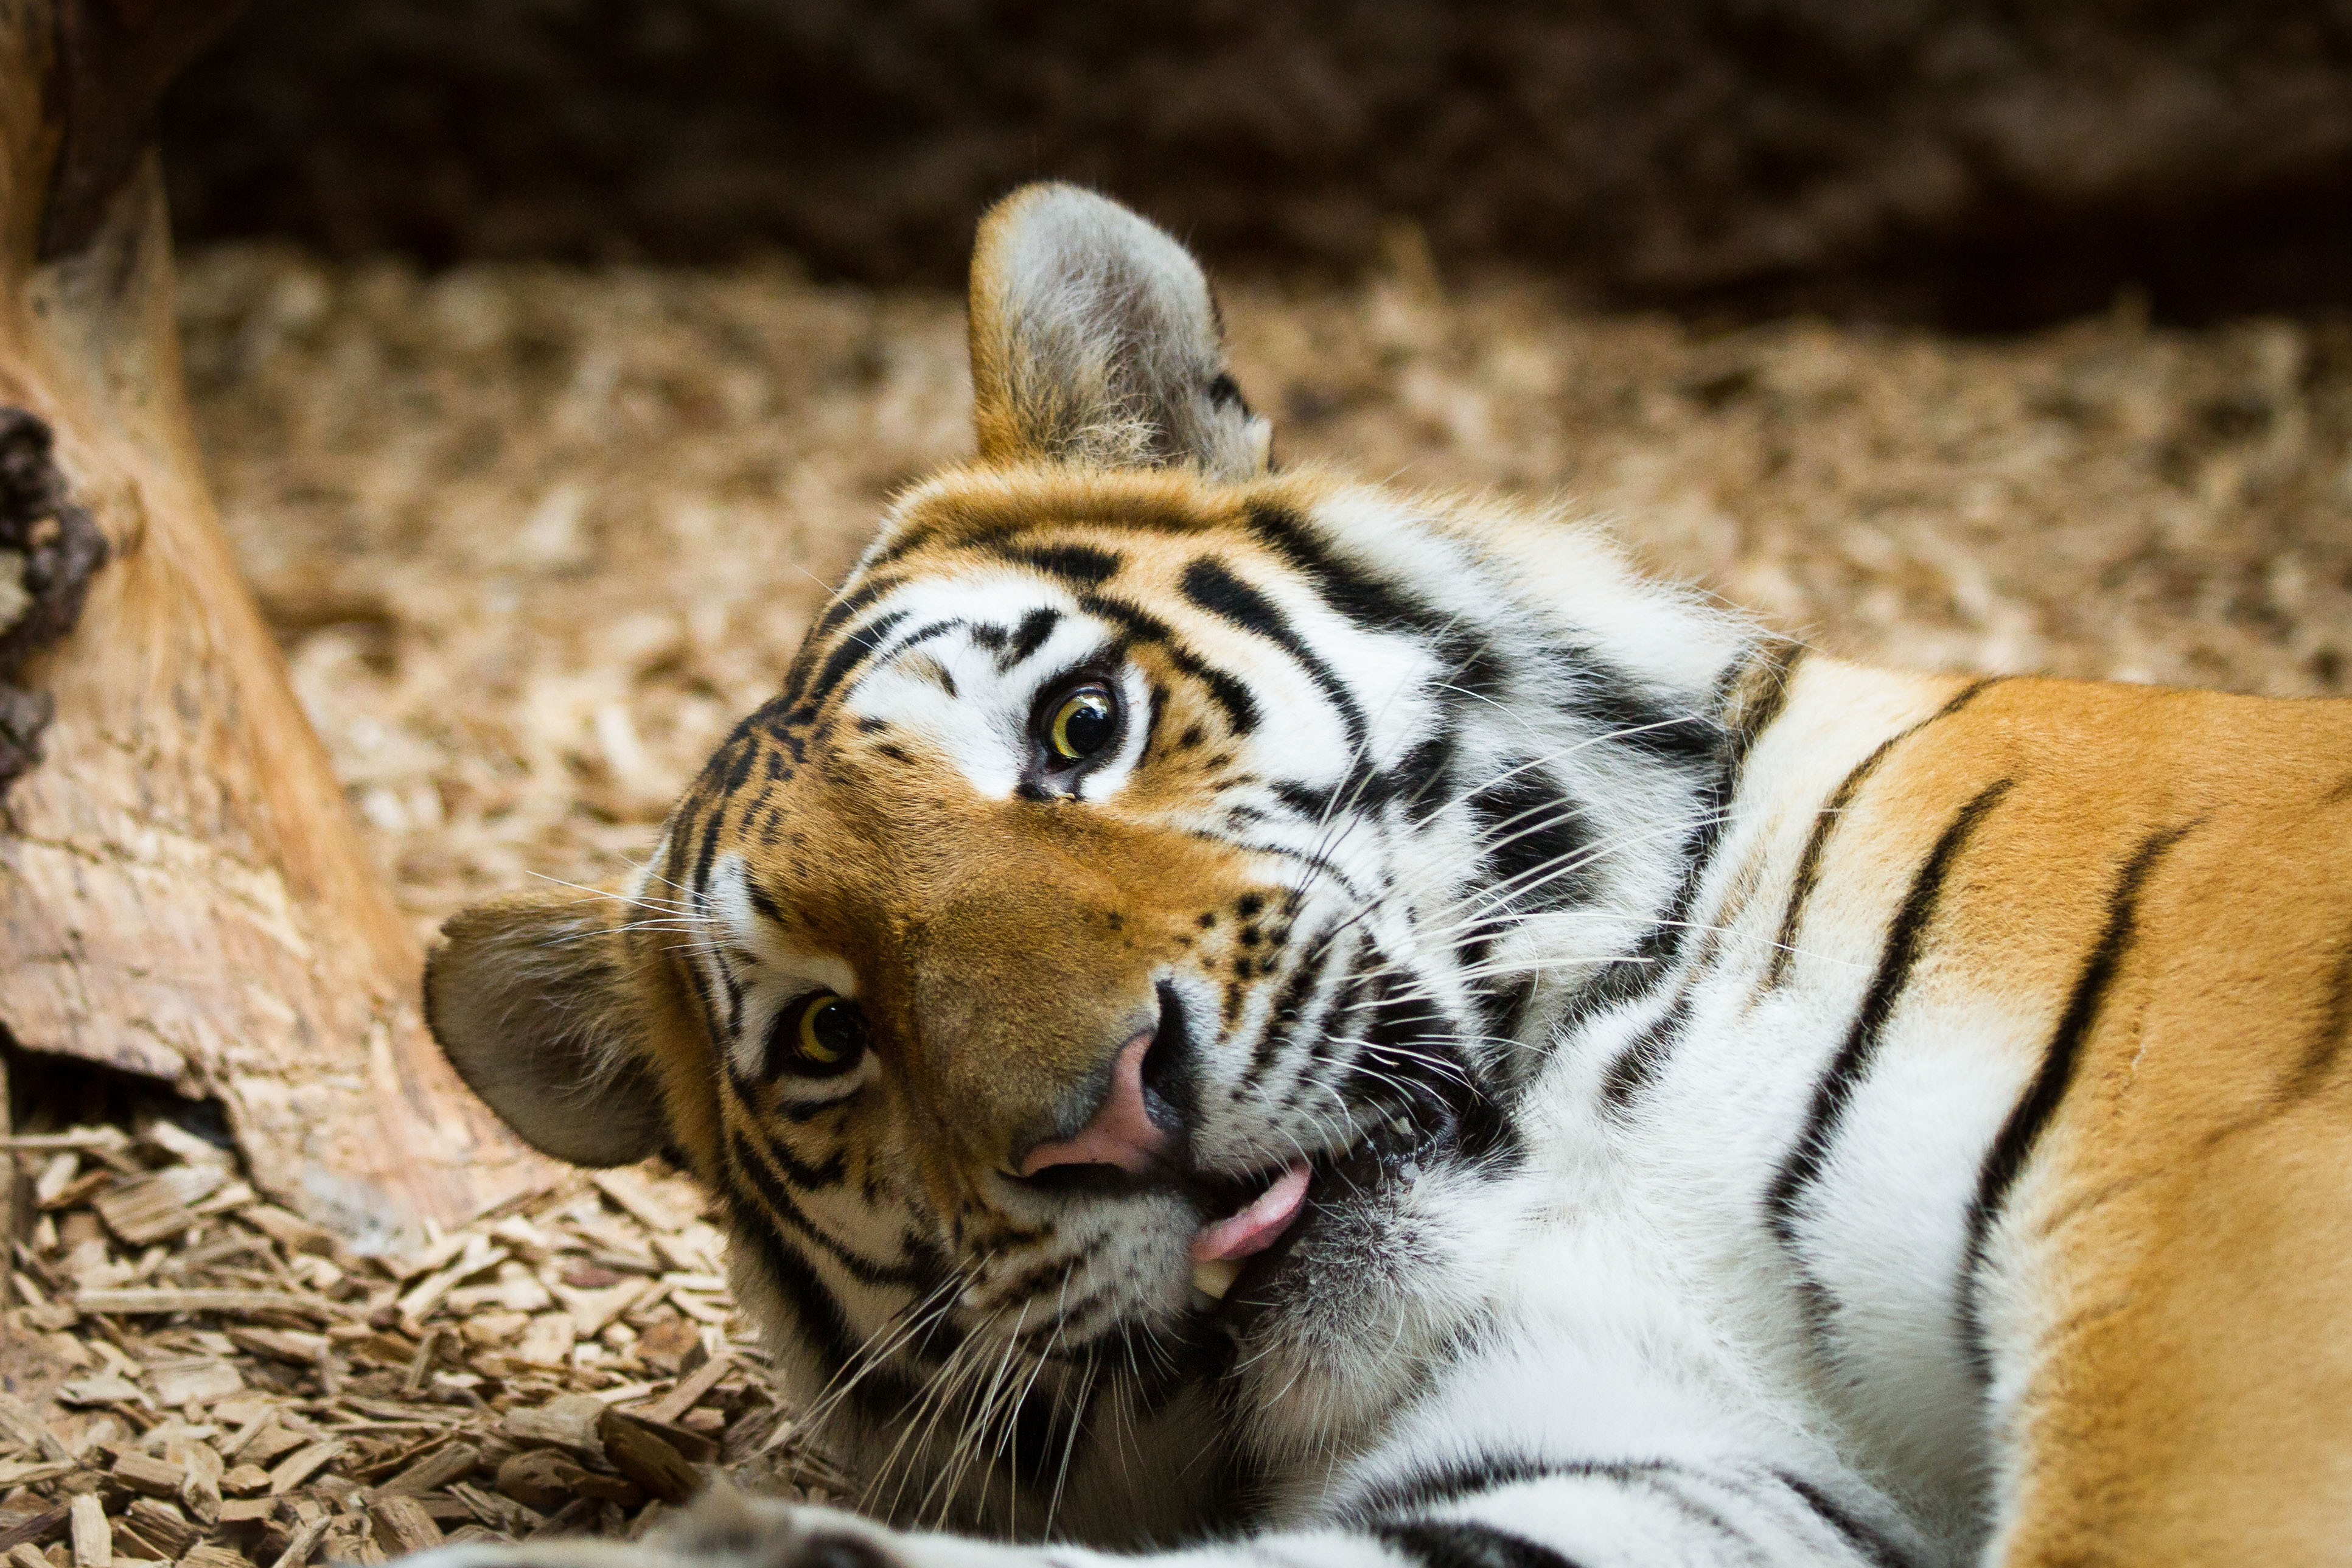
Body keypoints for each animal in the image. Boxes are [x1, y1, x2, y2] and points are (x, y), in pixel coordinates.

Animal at [414, 187, 2352, 1568]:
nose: (1116, 1116)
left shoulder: (2212, 1261)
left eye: (1080, 726)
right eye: (826, 1039)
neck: (1581, 1153)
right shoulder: (1661, 1443)